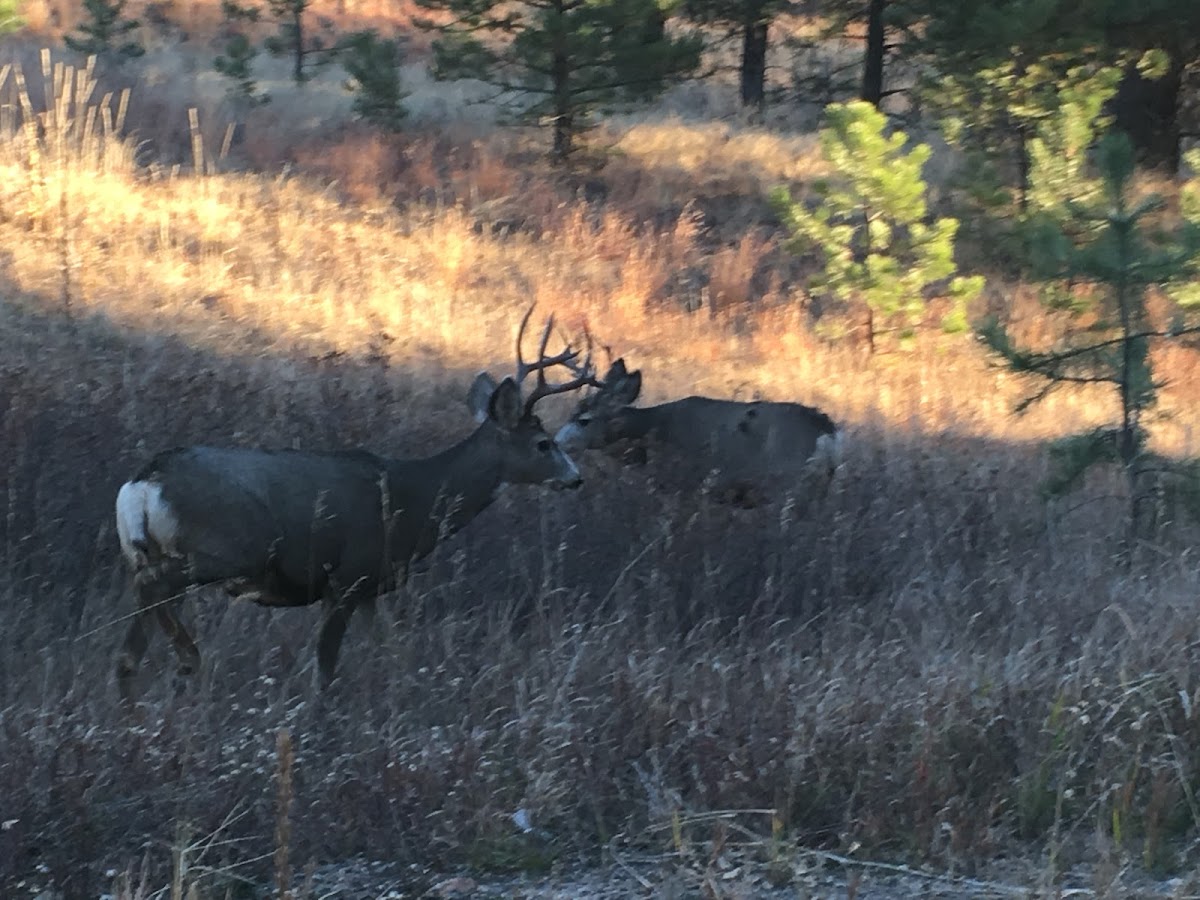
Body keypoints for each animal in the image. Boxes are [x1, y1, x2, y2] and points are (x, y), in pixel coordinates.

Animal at [114, 309, 592, 696]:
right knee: (152, 590)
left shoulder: (369, 589)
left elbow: (388, 652)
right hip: (223, 548)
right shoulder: (345, 578)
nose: (576, 479)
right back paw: (187, 660)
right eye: (544, 443)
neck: (411, 500)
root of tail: (143, 481)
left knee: (134, 637)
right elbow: (325, 669)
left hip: (160, 553)